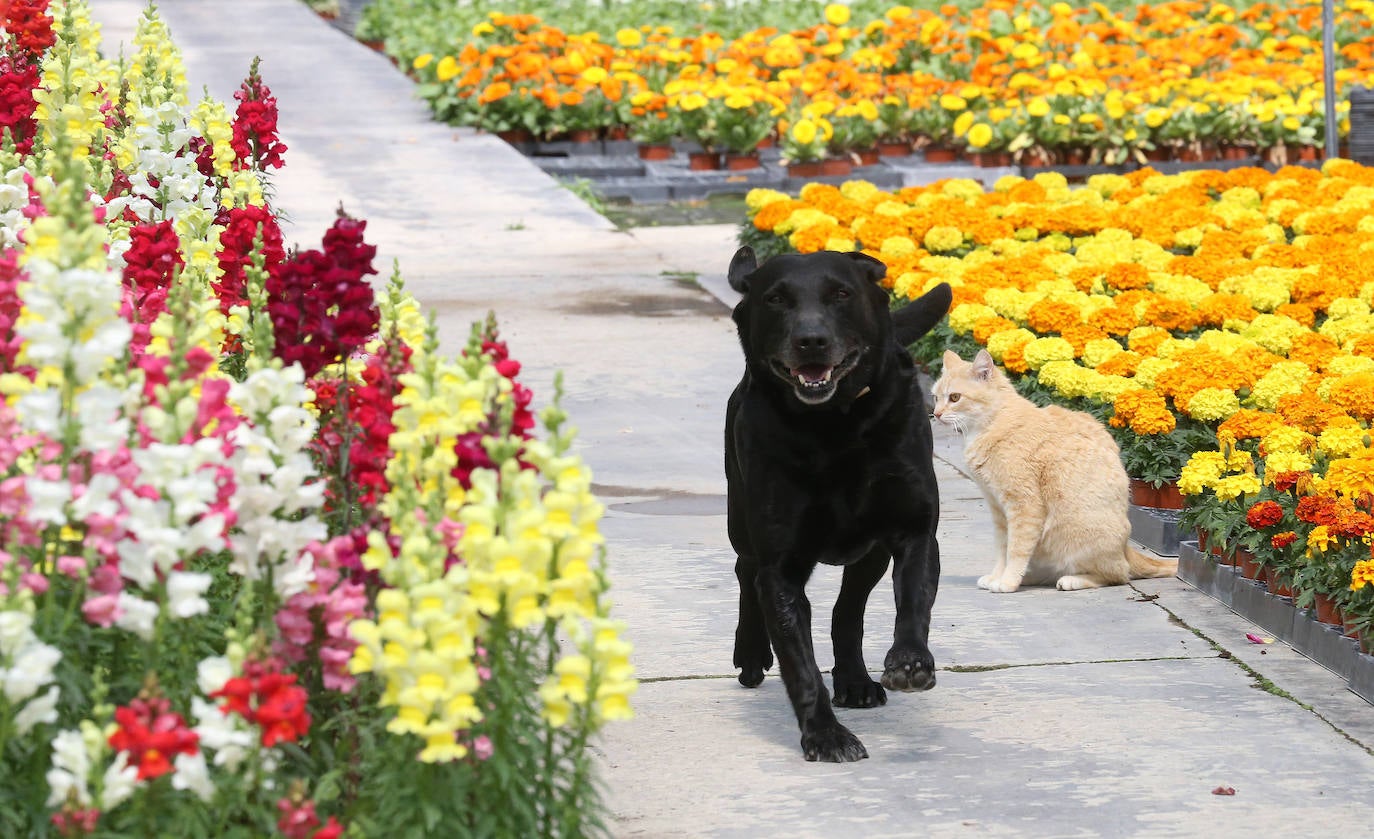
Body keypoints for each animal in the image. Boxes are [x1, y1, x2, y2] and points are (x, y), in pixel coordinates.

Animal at [725, 244, 950, 763]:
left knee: (848, 611)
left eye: (841, 294)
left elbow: (914, 601)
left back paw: (855, 679)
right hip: (739, 517)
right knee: (746, 569)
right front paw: (825, 735)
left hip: (869, 552)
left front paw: (910, 660)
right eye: (776, 298)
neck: (835, 426)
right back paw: (751, 653)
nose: (811, 341)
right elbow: (800, 665)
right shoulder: (781, 569)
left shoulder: (913, 530)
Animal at [934, 351, 1181, 593]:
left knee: (1117, 576)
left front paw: (1007, 581)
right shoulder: (998, 509)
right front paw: (998, 576)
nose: (935, 414)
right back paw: (1030, 578)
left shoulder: (1024, 506)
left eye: (954, 398)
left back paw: (1073, 580)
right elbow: (1002, 548)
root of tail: (1126, 548)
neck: (993, 423)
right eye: (936, 398)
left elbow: (1016, 549)